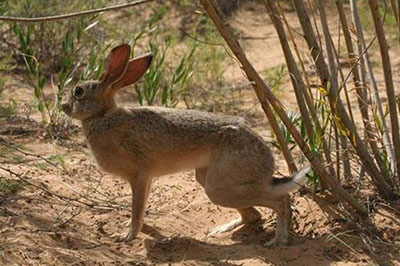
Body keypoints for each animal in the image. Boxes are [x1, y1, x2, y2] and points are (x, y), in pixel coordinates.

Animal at [61, 44, 310, 247]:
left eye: (78, 91)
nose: (63, 105)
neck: (102, 115)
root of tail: (267, 164)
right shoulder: (146, 179)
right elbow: (141, 207)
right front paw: (141, 230)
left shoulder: (139, 175)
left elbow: (136, 207)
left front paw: (127, 236)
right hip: (210, 179)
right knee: (254, 215)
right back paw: (221, 229)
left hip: (220, 187)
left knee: (280, 200)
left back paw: (278, 240)